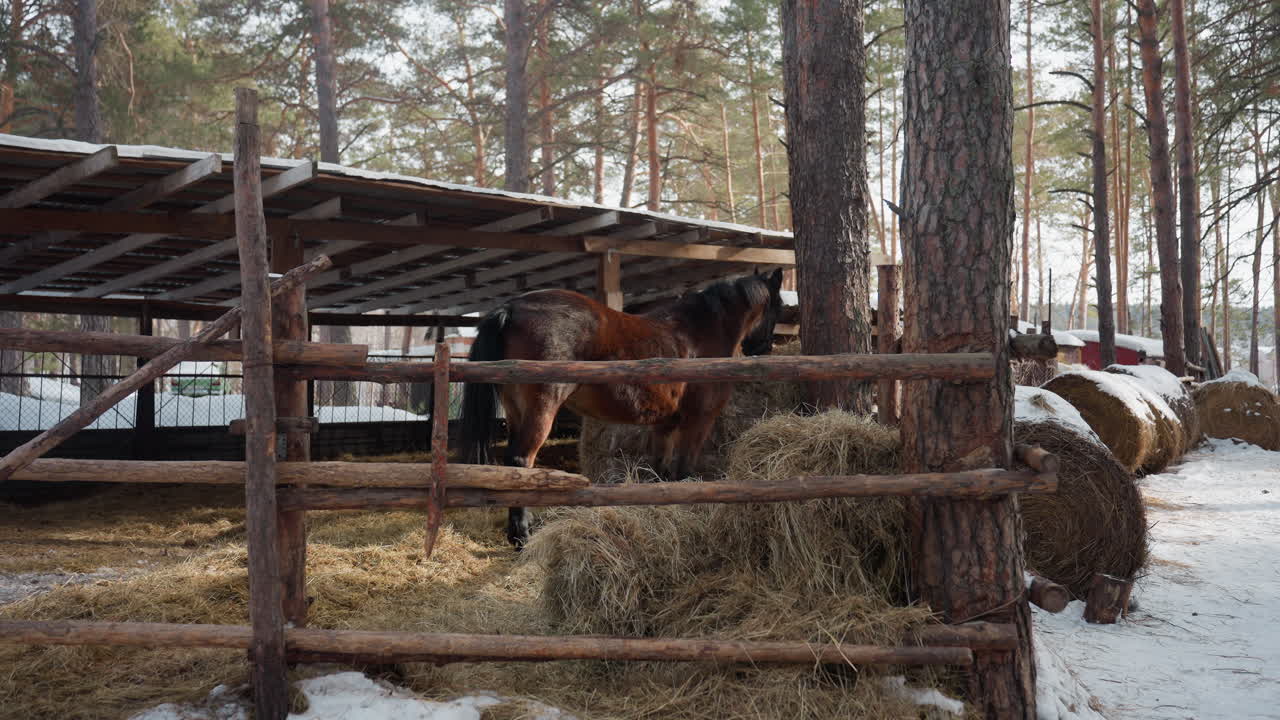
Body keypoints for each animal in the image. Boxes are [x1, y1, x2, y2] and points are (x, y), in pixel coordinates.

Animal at [460, 268, 785, 548]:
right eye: (779, 307)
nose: (763, 348)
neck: (698, 334)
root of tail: (510, 309)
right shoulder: (698, 421)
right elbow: (683, 471)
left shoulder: (664, 424)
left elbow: (659, 472)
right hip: (541, 409)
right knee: (520, 462)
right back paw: (522, 536)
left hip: (516, 411)